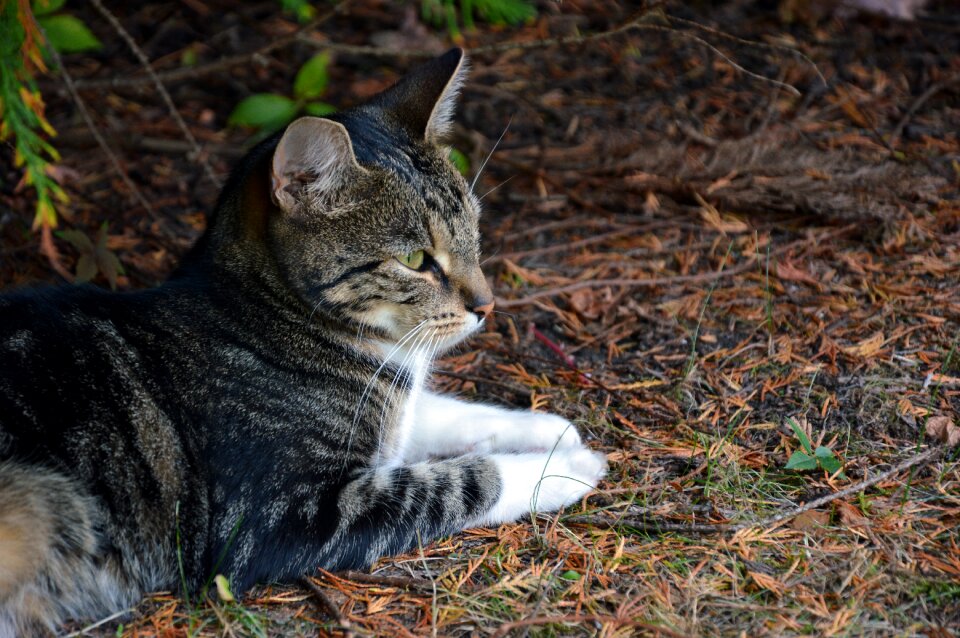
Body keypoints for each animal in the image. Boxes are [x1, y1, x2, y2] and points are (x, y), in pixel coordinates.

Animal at [0, 47, 604, 636]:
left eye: (473, 232)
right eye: (415, 259)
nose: (487, 306)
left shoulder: (393, 416)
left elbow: (439, 414)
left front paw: (550, 431)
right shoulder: (280, 516)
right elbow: (458, 481)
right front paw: (565, 468)